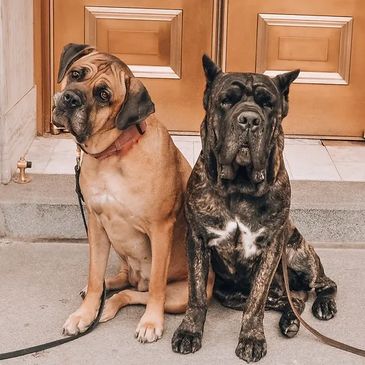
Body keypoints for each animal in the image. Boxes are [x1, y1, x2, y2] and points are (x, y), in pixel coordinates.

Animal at [50, 44, 213, 342]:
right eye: (76, 74)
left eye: (103, 95)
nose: (70, 98)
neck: (113, 153)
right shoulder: (96, 223)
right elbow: (93, 274)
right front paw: (85, 312)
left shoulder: (160, 229)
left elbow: (157, 285)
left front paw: (151, 322)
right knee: (122, 279)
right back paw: (105, 288)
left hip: (180, 295)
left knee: (134, 293)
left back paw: (113, 305)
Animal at [171, 56, 336, 362]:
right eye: (226, 100)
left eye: (268, 103)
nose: (249, 119)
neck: (240, 187)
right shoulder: (197, 239)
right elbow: (196, 294)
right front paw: (189, 331)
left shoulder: (272, 246)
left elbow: (255, 303)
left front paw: (251, 338)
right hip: (231, 294)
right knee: (293, 300)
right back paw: (291, 321)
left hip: (298, 252)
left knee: (322, 284)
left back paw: (323, 305)